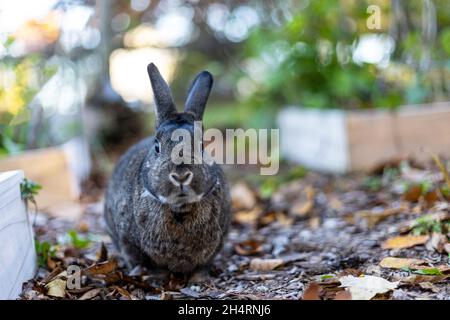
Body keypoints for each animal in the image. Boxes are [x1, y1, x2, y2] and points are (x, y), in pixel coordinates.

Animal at [105, 63, 230, 276]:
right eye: (157, 146)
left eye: (202, 146)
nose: (181, 176)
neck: (180, 210)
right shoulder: (126, 241)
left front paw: (200, 276)